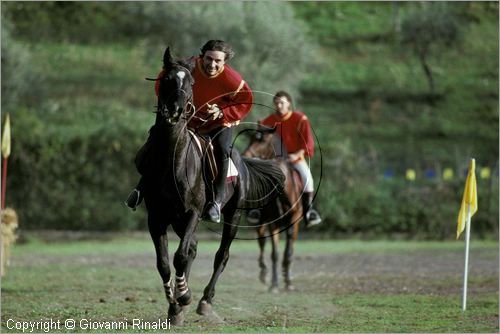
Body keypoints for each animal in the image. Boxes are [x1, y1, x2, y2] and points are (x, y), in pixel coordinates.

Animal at [142, 47, 286, 324]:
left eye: (190, 82)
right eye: (166, 79)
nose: (175, 110)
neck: (171, 159)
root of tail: (241, 161)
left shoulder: (193, 212)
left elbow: (179, 256)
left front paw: (184, 297)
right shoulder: (156, 217)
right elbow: (164, 263)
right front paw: (175, 306)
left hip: (233, 214)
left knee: (221, 255)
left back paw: (205, 301)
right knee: (192, 249)